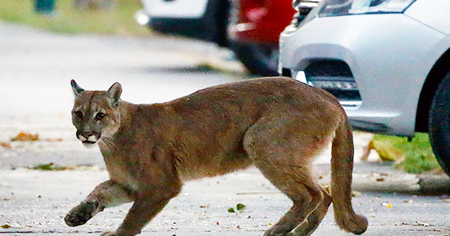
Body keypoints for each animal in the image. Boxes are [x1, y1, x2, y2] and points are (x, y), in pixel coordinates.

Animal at [65, 76, 368, 235]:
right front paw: (78, 214)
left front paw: (117, 232)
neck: (111, 141)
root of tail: (328, 95)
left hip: (260, 142)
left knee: (311, 195)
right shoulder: (129, 184)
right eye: (78, 113)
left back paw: (279, 231)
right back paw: (299, 233)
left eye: (100, 115)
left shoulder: (159, 186)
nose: (86, 134)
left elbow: (133, 218)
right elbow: (100, 191)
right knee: (326, 193)